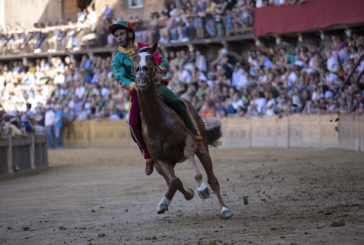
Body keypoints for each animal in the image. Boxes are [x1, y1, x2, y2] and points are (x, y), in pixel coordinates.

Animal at [132, 41, 232, 218]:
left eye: (151, 58)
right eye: (134, 59)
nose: (141, 72)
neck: (157, 122)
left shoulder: (189, 140)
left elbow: (190, 160)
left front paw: (202, 189)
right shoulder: (159, 160)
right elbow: (174, 181)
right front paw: (168, 201)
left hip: (203, 148)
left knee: (212, 179)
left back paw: (224, 208)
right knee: (171, 181)